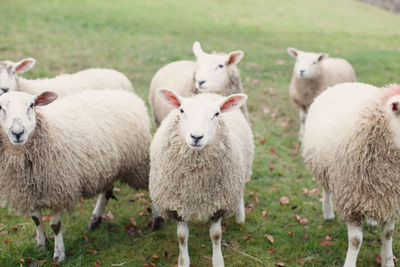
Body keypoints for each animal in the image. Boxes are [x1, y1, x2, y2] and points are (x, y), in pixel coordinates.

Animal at [0, 90, 152, 264]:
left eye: (31, 105)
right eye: (0, 107)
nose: (17, 133)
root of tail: (129, 95)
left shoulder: (58, 191)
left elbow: (55, 226)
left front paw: (59, 255)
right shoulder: (26, 192)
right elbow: (36, 221)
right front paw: (41, 246)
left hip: (138, 162)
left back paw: (157, 220)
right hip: (107, 166)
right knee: (106, 192)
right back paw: (94, 220)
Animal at [150, 89, 253, 266]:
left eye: (216, 113)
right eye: (182, 110)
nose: (196, 137)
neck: (196, 184)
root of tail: (208, 93)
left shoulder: (219, 204)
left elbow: (216, 235)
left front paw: (218, 261)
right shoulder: (177, 206)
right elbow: (182, 237)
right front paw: (183, 262)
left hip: (239, 174)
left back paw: (240, 217)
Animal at [302, 82, 400, 266]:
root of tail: (345, 84)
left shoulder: (391, 200)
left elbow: (388, 234)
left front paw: (388, 261)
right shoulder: (351, 202)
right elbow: (356, 241)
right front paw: (350, 263)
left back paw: (372, 220)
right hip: (324, 167)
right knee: (326, 190)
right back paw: (328, 213)